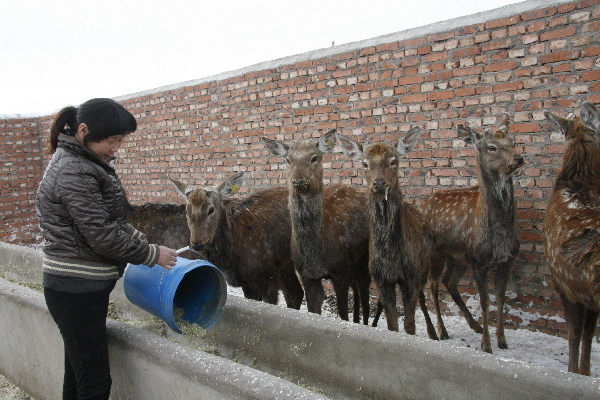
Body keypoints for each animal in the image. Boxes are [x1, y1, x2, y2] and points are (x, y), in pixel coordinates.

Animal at [169, 172, 304, 310]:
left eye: (211, 209)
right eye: (187, 210)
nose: (197, 243)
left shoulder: (268, 274)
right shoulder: (247, 282)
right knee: (295, 293)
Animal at [262, 130, 370, 324]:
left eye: (314, 158)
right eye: (288, 159)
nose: (298, 180)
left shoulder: (340, 271)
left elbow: (342, 313)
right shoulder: (306, 274)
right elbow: (313, 308)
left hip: (365, 257)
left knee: (364, 291)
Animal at [338, 126, 440, 340]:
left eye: (393, 161)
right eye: (365, 163)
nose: (379, 183)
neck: (391, 257)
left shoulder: (410, 276)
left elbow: (409, 325)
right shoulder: (381, 279)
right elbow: (392, 324)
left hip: (424, 267)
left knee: (423, 298)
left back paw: (434, 333)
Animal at [420, 113, 524, 354]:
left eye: (512, 142)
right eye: (492, 146)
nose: (518, 158)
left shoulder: (508, 259)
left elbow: (501, 299)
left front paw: (502, 340)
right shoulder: (479, 260)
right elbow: (485, 301)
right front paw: (487, 345)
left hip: (457, 257)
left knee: (449, 281)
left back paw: (474, 325)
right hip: (435, 253)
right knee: (432, 284)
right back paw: (439, 331)